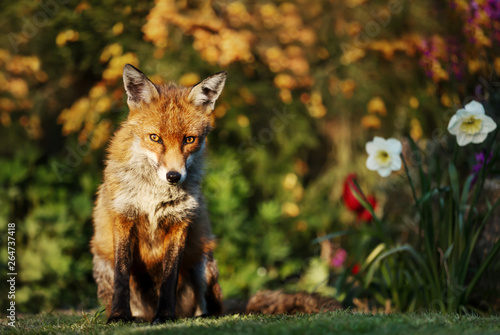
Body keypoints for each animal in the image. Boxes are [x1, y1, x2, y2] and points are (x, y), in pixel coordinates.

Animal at [91, 64, 227, 324]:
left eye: (189, 139)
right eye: (155, 138)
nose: (174, 176)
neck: (153, 195)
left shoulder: (179, 222)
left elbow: (169, 278)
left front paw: (164, 315)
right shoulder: (124, 216)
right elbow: (122, 275)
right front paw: (119, 315)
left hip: (203, 262)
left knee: (214, 308)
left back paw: (199, 316)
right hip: (102, 262)